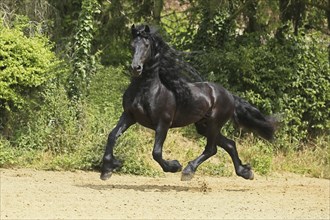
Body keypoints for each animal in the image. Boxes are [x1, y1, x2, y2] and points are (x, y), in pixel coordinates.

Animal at [100, 24, 276, 181]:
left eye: (146, 45)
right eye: (132, 46)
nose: (135, 68)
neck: (146, 90)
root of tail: (229, 95)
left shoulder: (163, 123)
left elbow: (156, 152)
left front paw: (174, 166)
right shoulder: (129, 116)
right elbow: (112, 135)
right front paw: (108, 169)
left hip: (213, 124)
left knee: (211, 149)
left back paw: (188, 171)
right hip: (203, 126)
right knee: (229, 144)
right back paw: (245, 172)